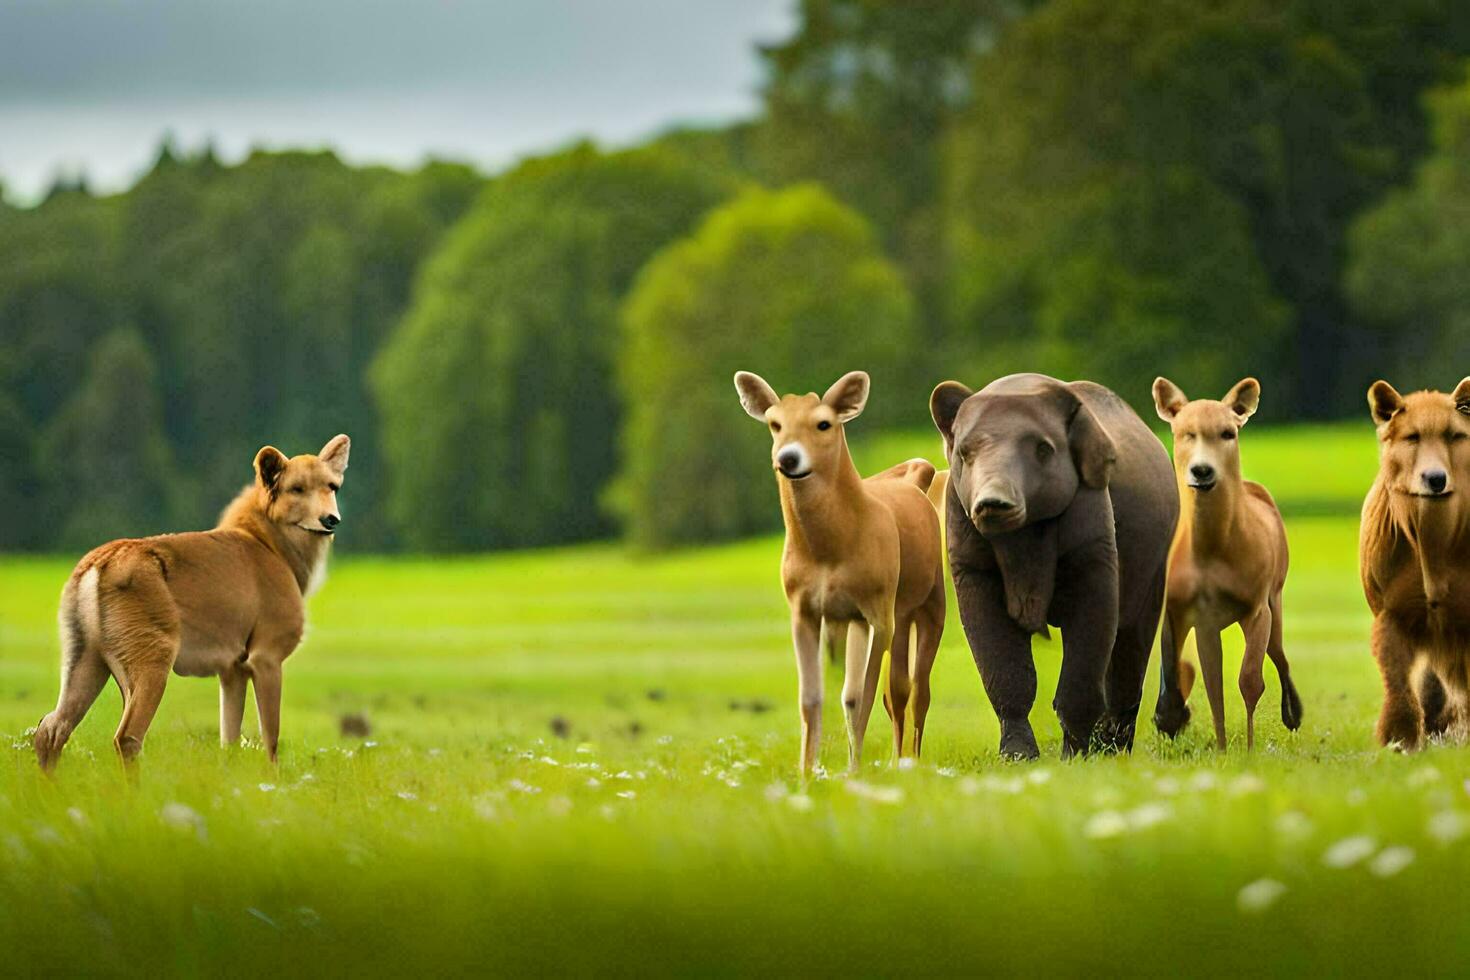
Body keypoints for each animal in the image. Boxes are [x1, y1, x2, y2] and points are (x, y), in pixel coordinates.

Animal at [732, 370, 946, 775]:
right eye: (774, 424)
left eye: (823, 423)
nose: (788, 457)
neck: (829, 554)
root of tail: (915, 481)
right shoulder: (805, 609)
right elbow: (816, 696)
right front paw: (807, 771)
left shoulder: (878, 608)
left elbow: (865, 693)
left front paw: (854, 770)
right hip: (859, 618)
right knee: (885, 689)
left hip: (926, 601)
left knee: (914, 688)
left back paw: (907, 760)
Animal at [929, 373, 1181, 758]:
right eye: (965, 453)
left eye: (1043, 449)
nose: (994, 502)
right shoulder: (967, 554)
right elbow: (1004, 669)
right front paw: (1017, 755)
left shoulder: (1093, 536)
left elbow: (1085, 665)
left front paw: (1075, 755)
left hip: (1154, 570)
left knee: (1128, 654)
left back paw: (1113, 747)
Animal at [1152, 379, 1305, 746]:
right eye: (1185, 433)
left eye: (1227, 432)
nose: (1202, 470)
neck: (1212, 552)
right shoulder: (1188, 610)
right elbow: (1209, 685)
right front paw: (1177, 721)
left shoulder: (1257, 604)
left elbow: (1250, 680)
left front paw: (1248, 748)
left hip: (1276, 596)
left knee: (1279, 655)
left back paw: (1293, 713)